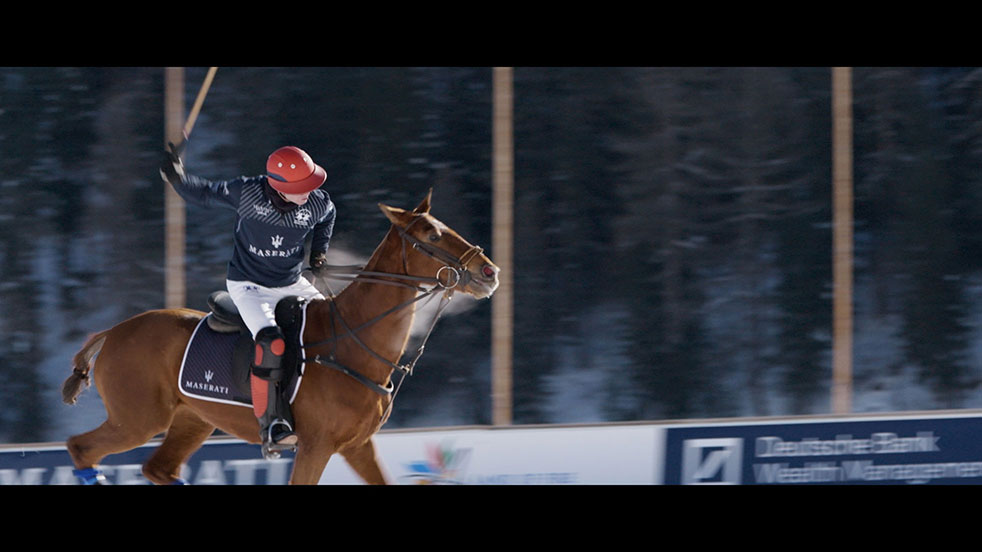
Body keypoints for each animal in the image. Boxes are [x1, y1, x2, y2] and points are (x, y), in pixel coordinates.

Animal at [61, 190, 500, 484]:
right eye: (431, 235)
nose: (489, 271)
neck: (355, 342)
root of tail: (114, 330)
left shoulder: (358, 446)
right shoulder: (315, 446)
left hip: (192, 419)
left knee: (157, 467)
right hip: (137, 418)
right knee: (81, 448)